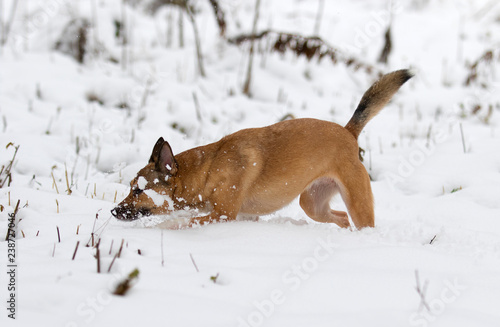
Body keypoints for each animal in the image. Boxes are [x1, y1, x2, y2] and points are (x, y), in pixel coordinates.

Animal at [112, 70, 414, 229]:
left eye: (138, 190)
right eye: (130, 188)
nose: (114, 212)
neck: (207, 170)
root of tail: (348, 132)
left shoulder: (223, 215)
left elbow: (181, 221)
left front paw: (164, 228)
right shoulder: (243, 215)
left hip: (357, 203)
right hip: (312, 204)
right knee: (340, 218)